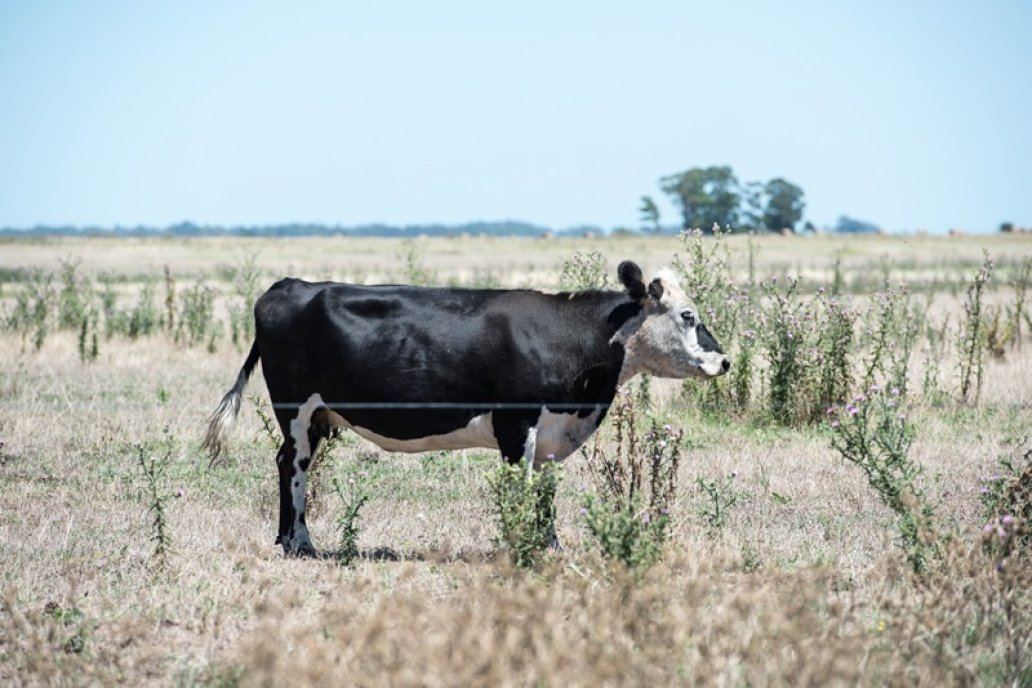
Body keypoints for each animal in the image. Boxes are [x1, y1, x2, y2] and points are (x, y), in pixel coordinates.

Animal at [201, 260, 730, 557]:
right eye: (688, 316)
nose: (724, 360)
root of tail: (289, 285)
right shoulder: (516, 423)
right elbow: (520, 489)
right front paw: (521, 545)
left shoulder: (549, 433)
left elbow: (545, 494)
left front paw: (552, 548)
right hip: (295, 408)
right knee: (293, 465)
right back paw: (300, 543)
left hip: (314, 415)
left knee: (288, 463)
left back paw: (289, 540)